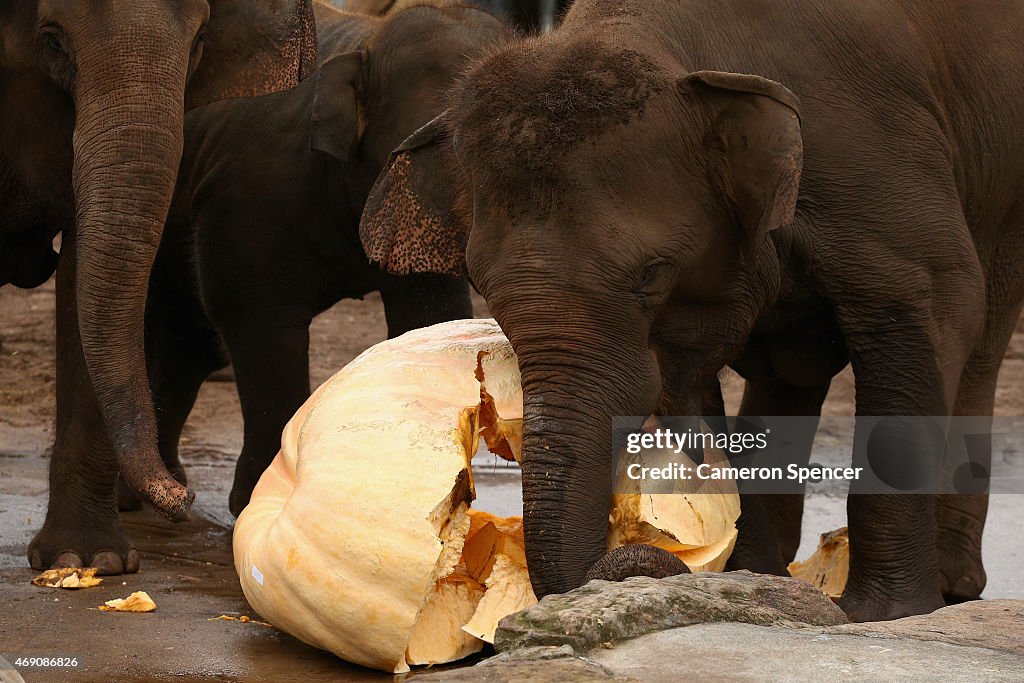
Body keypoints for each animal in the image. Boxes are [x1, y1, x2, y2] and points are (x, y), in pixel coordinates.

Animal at [130, 1, 505, 518]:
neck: (366, 44)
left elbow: (428, 316)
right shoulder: (249, 197)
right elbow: (256, 322)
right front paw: (256, 500)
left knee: (188, 340)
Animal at [358, 0, 1024, 622]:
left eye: (651, 274)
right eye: (480, 281)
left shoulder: (872, 159)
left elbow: (937, 301)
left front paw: (880, 615)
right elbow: (687, 380)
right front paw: (742, 574)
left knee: (982, 332)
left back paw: (951, 587)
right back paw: (764, 573)